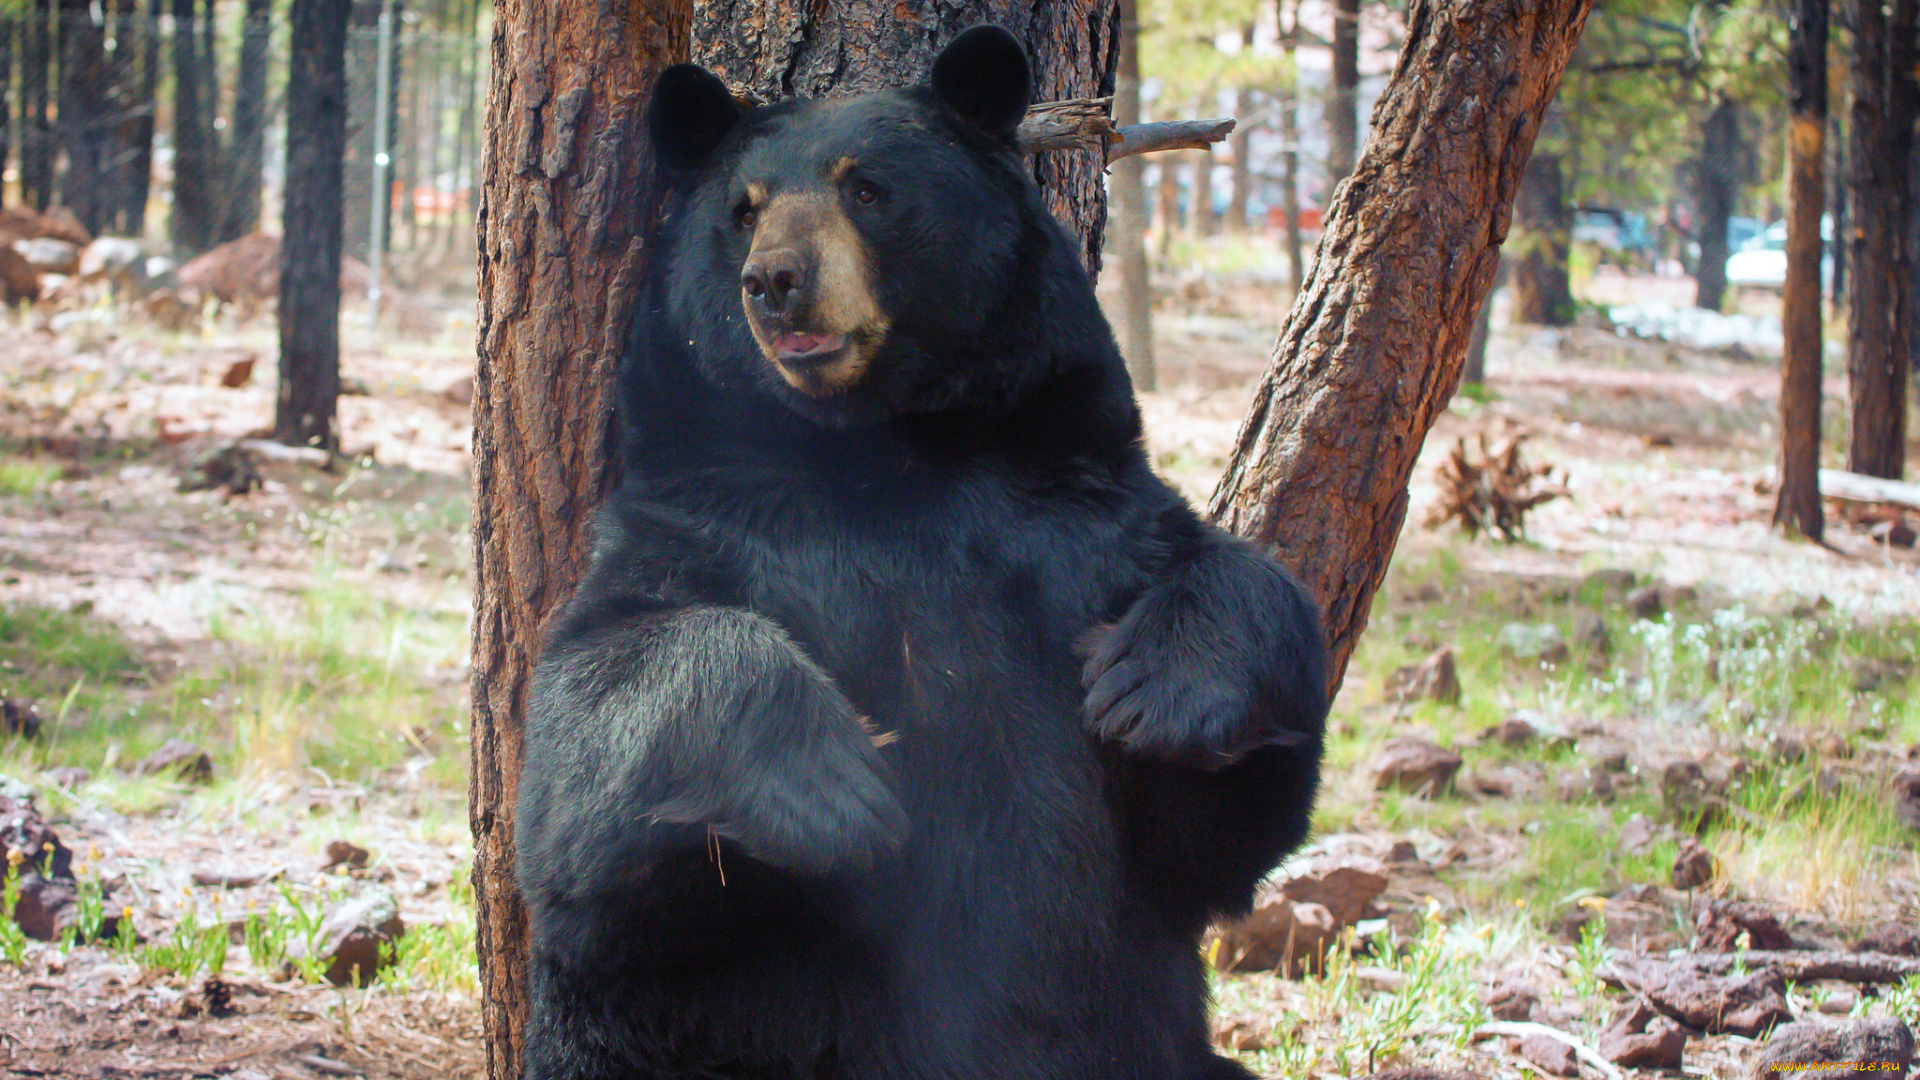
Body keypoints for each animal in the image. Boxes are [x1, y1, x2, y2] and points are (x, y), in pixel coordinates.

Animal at [518, 27, 1328, 1076]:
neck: (886, 454)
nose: (775, 282)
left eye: (867, 188)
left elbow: (1219, 819)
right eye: (743, 210)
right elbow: (583, 772)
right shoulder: (703, 518)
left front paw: (1153, 691)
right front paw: (836, 788)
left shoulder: (1075, 515)